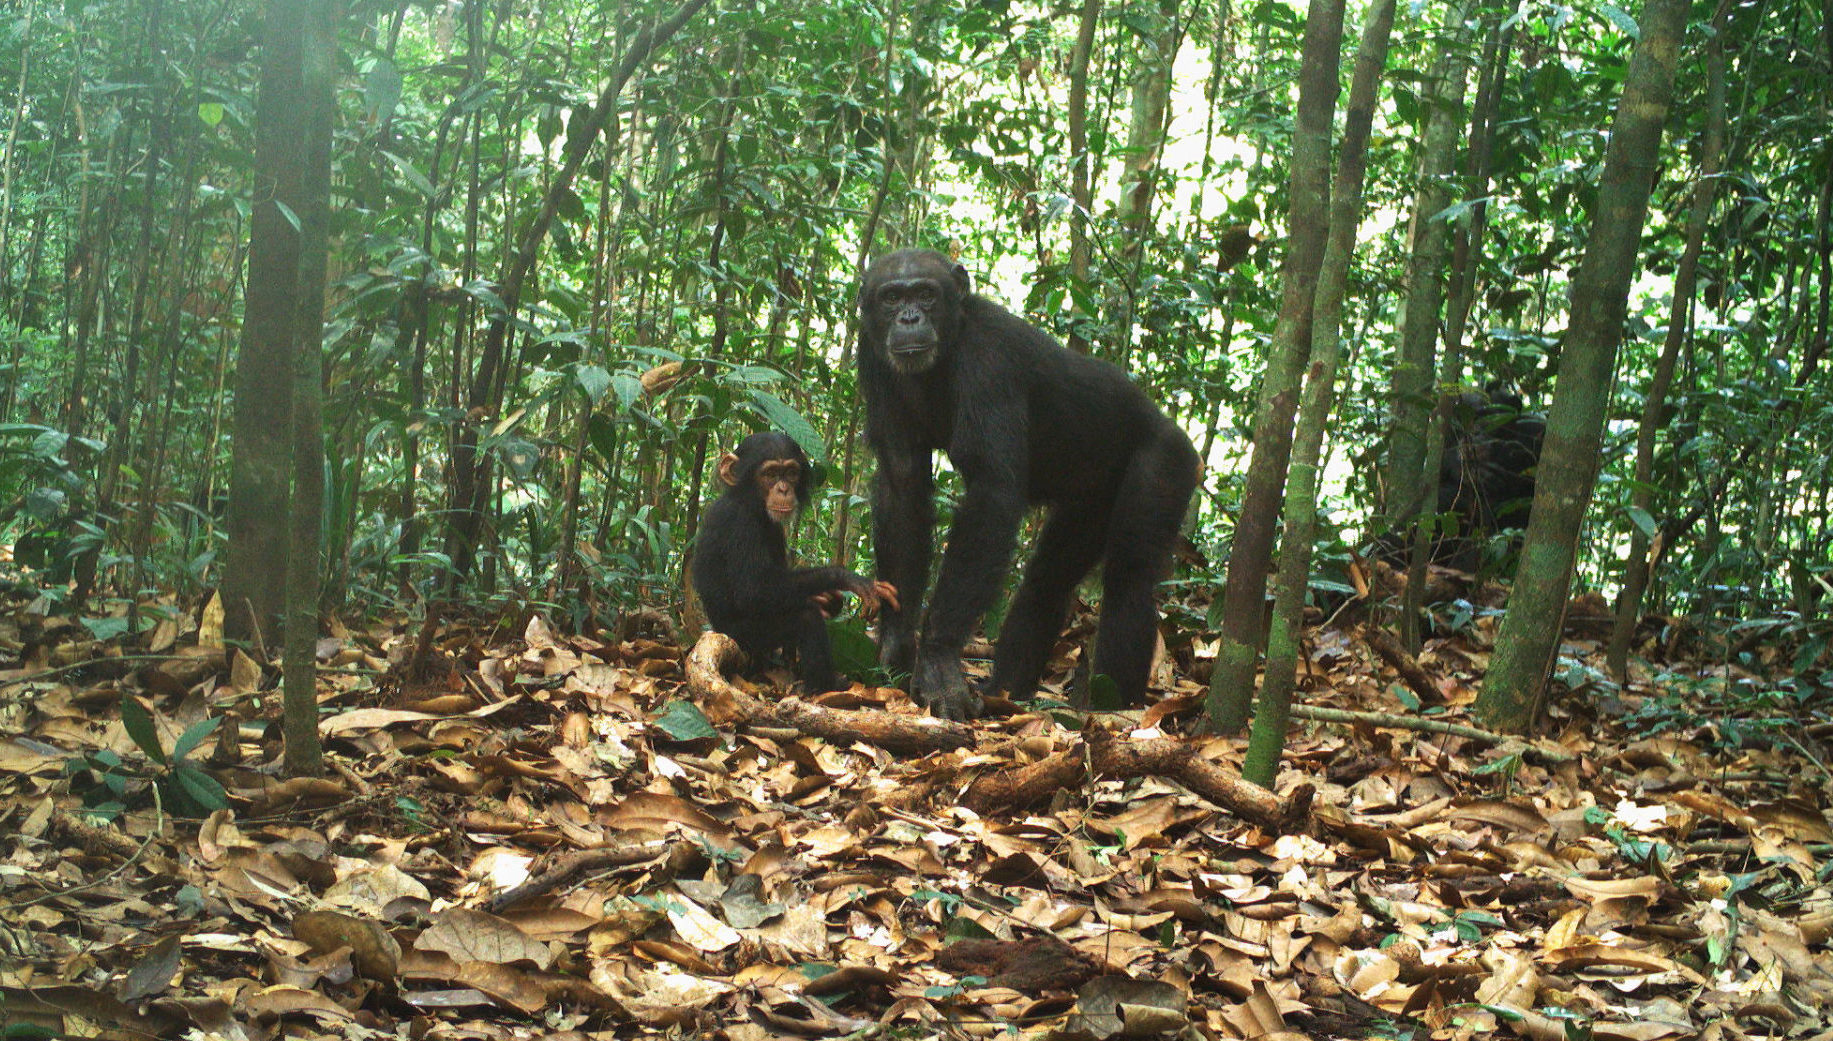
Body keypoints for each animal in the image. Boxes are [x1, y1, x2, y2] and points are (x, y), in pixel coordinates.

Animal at [689, 430, 898, 692]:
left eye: (790, 473)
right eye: (770, 474)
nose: (783, 489)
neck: (750, 503)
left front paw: (827, 598)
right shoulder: (738, 523)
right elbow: (754, 589)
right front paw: (847, 579)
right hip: (748, 638)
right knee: (805, 618)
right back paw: (826, 686)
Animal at [857, 249, 1202, 718]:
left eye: (926, 294)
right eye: (892, 298)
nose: (910, 317)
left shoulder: (989, 358)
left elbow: (992, 489)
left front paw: (938, 661)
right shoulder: (871, 358)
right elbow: (901, 482)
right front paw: (895, 643)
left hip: (1169, 458)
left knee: (1130, 577)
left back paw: (1109, 707)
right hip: (1090, 500)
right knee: (1047, 579)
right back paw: (1008, 691)